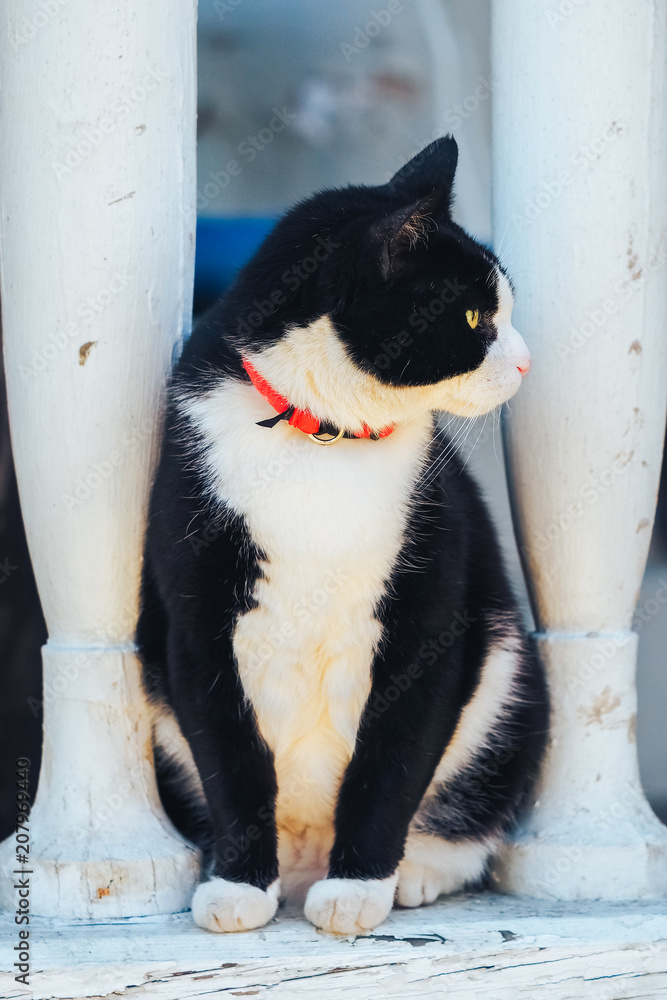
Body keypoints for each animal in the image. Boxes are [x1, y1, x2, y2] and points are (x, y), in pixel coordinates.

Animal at [138, 137, 552, 932]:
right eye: (473, 316)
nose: (524, 362)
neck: (324, 438)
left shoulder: (430, 618)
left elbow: (391, 760)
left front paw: (359, 886)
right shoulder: (195, 623)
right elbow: (229, 757)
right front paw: (237, 886)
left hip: (508, 672)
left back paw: (409, 873)